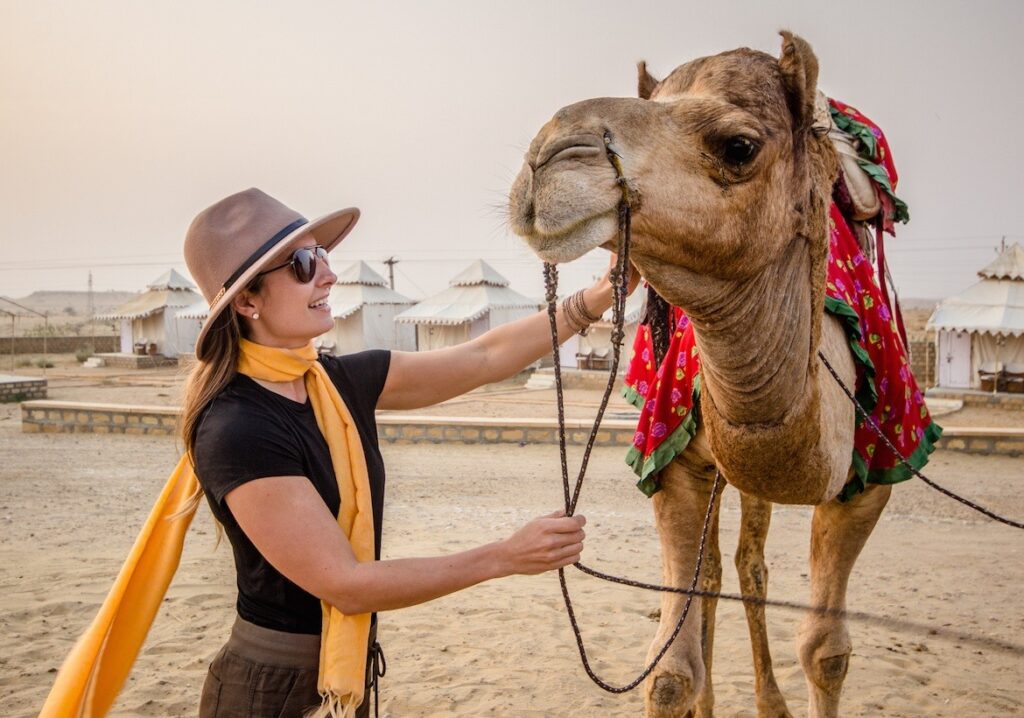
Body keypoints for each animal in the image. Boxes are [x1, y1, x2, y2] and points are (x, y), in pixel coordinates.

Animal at [508, 33, 907, 718]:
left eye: (738, 146)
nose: (546, 155)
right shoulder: (670, 458)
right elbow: (670, 670)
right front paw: (690, 690)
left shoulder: (877, 469)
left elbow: (826, 652)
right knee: (718, 570)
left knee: (749, 564)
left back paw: (769, 701)